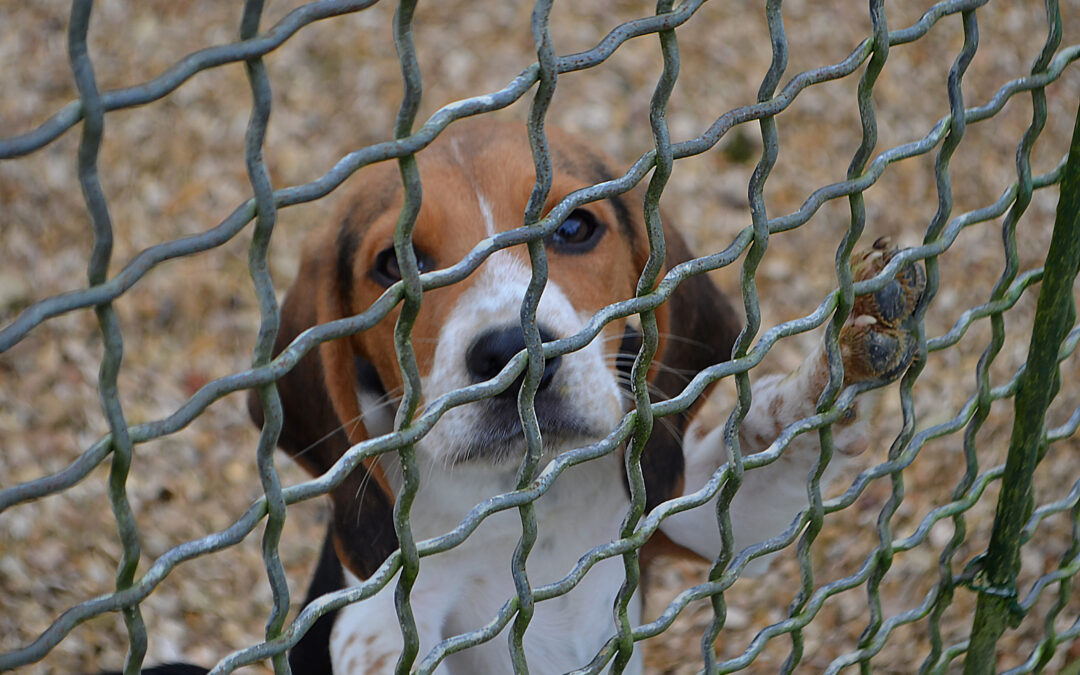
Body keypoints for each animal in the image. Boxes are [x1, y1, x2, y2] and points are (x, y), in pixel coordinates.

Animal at [116, 118, 928, 669]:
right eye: (394, 265)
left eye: (574, 227)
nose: (513, 351)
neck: (523, 489)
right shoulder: (374, 617)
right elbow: (392, 634)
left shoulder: (677, 517)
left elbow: (766, 450)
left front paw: (848, 347)